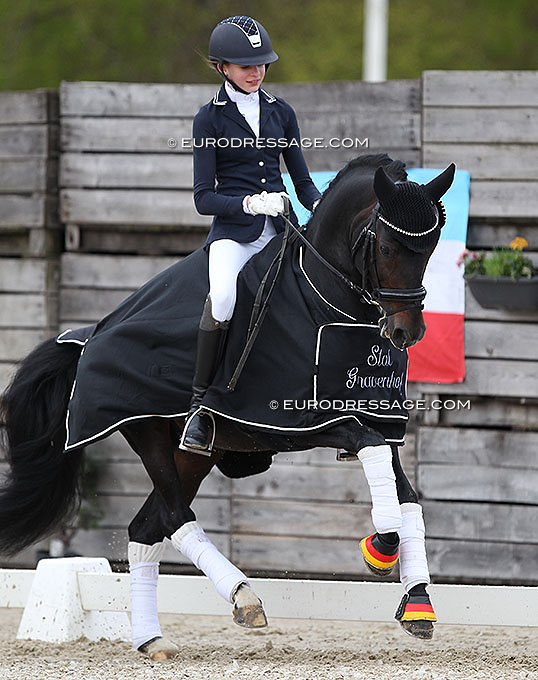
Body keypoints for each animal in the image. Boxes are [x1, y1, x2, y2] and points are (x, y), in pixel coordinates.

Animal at [0, 154, 452, 660]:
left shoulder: (377, 422)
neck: (320, 300)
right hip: (150, 434)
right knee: (175, 517)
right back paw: (243, 596)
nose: (407, 333)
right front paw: (382, 547)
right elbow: (369, 450)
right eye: (390, 248)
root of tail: (89, 336)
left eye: (430, 248)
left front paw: (417, 601)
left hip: (196, 455)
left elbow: (406, 496)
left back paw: (152, 639)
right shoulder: (293, 421)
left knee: (146, 526)